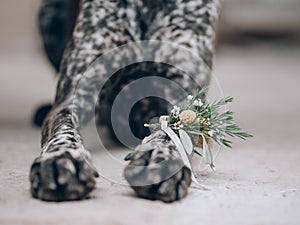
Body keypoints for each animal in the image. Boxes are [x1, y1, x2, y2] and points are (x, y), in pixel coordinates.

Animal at [30, 0, 221, 202]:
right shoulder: (75, 94)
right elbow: (63, 127)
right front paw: (62, 157)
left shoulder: (188, 98)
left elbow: (173, 131)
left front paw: (160, 157)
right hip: (48, 13)